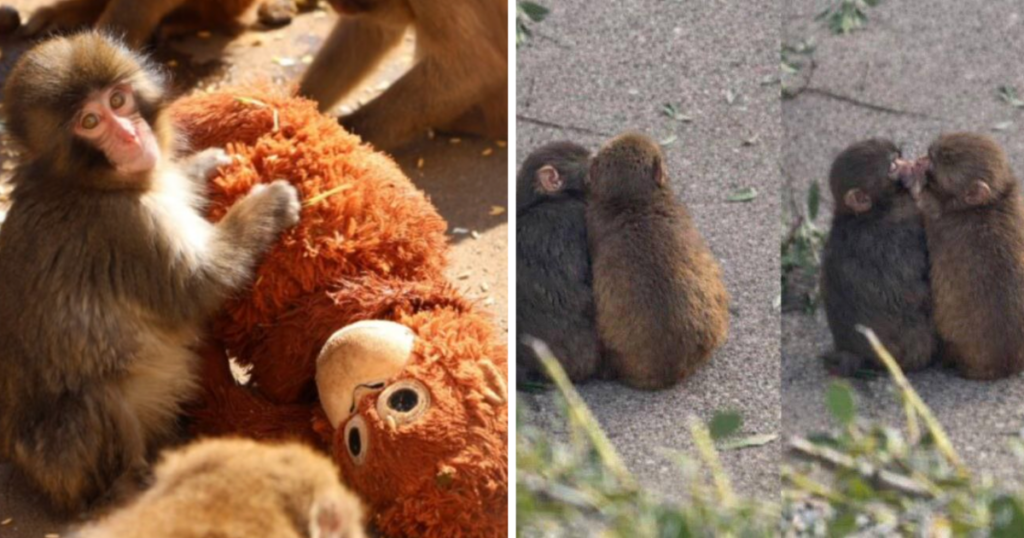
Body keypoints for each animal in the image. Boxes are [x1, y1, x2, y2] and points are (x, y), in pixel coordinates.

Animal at [0, 33, 301, 514]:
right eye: (89, 121)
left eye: (117, 100)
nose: (129, 134)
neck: (87, 183)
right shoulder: (126, 227)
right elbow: (199, 286)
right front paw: (267, 205)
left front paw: (202, 165)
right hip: (60, 463)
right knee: (93, 401)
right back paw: (127, 487)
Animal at [901, 132, 1024, 380]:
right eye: (929, 156)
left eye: (934, 165)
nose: (921, 160)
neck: (991, 202)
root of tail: (1005, 365)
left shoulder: (939, 221)